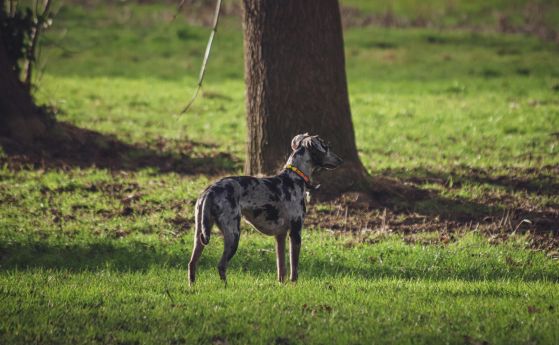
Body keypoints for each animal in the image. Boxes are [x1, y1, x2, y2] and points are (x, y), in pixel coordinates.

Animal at [188, 133, 344, 284]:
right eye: (326, 147)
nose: (341, 160)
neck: (294, 178)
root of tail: (210, 191)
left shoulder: (280, 236)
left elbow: (281, 268)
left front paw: (281, 285)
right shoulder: (295, 233)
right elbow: (294, 269)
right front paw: (294, 286)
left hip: (199, 235)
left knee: (192, 263)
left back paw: (192, 287)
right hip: (233, 235)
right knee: (221, 265)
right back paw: (226, 287)